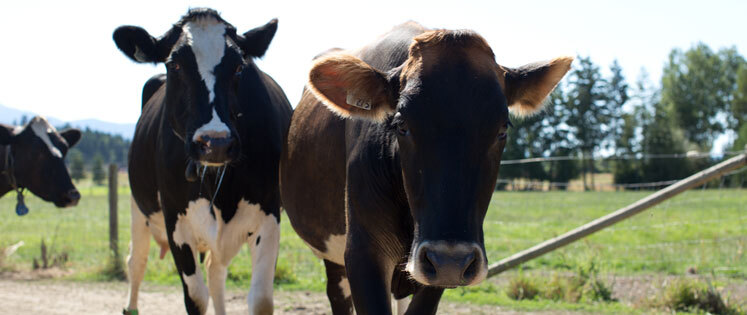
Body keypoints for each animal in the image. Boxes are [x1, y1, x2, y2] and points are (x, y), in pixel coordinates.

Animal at [114, 8, 292, 315]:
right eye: (174, 64)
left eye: (239, 66)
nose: (215, 143)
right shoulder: (176, 220)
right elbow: (196, 297)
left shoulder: (269, 214)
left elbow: (261, 300)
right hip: (139, 208)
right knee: (136, 262)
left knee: (215, 270)